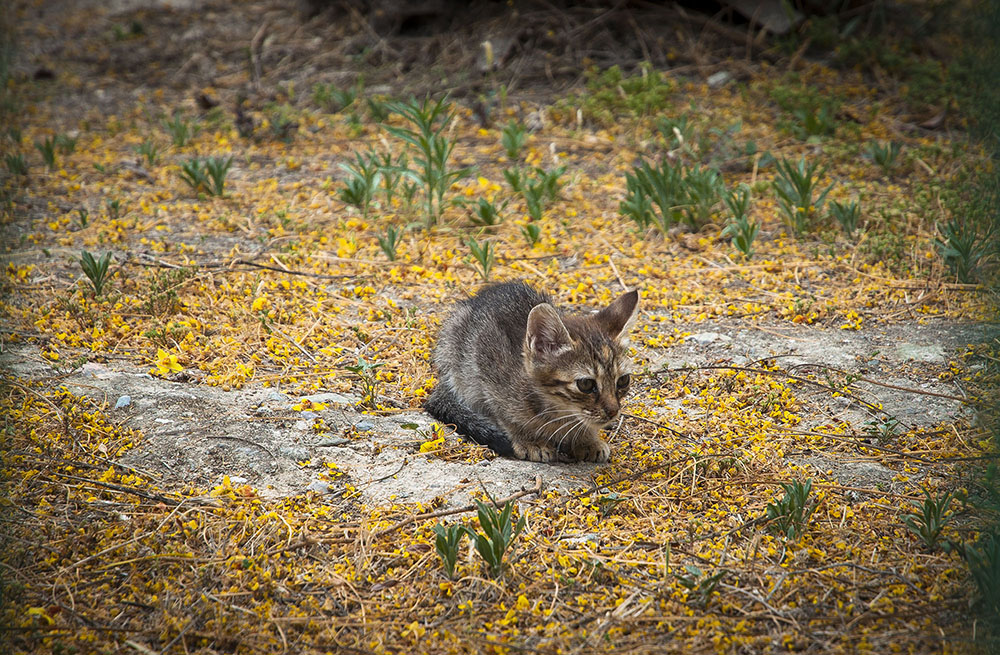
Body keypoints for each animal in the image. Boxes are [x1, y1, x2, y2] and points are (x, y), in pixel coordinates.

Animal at [426, 284, 636, 464]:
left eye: (623, 380)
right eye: (585, 384)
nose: (613, 411)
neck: (557, 410)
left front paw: (586, 440)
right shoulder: (486, 369)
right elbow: (506, 415)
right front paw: (530, 441)